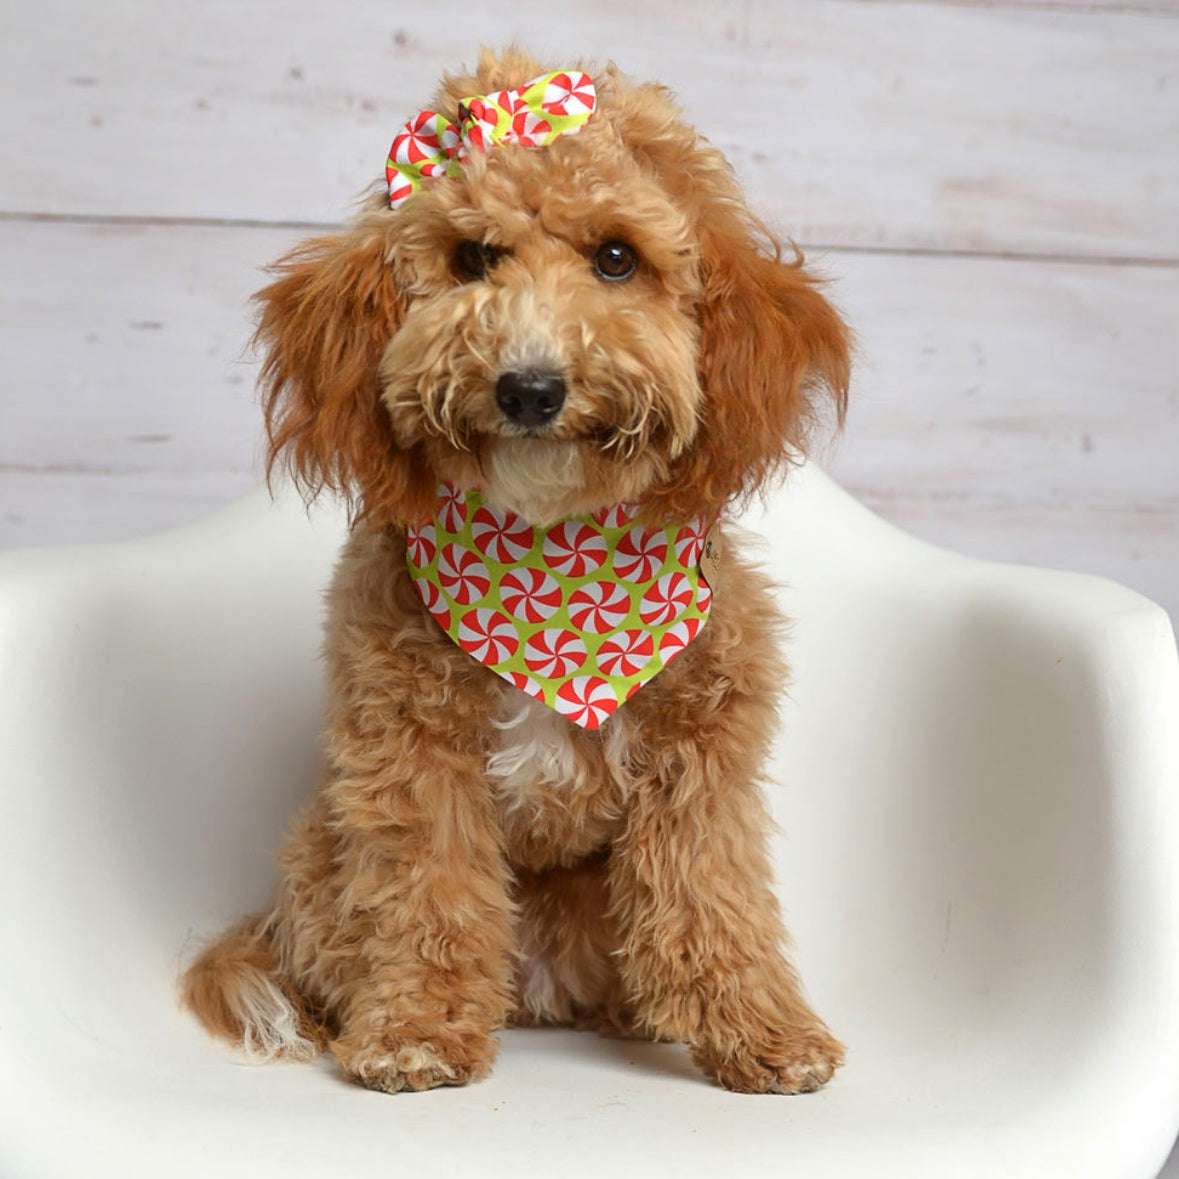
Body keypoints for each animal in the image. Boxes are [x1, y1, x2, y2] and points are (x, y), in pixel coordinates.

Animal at [181, 45, 848, 1094]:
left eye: (616, 257)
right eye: (472, 259)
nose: (529, 387)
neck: (551, 567)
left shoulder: (700, 763)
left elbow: (713, 895)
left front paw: (763, 1031)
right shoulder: (412, 757)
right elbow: (426, 896)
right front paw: (415, 1029)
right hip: (322, 860)